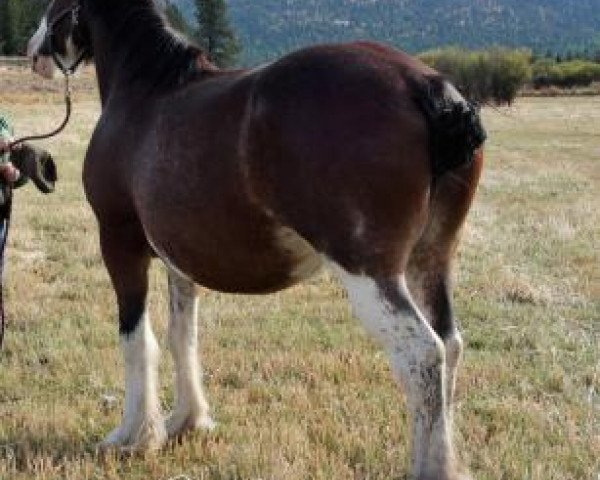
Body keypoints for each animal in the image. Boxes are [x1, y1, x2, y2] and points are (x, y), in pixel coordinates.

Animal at [28, 1, 486, 478]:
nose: (34, 52)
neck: (146, 92)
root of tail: (425, 86)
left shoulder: (120, 244)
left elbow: (137, 340)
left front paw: (132, 436)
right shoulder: (178, 259)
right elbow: (181, 336)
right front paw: (186, 421)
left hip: (369, 272)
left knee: (422, 354)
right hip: (430, 261)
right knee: (450, 345)